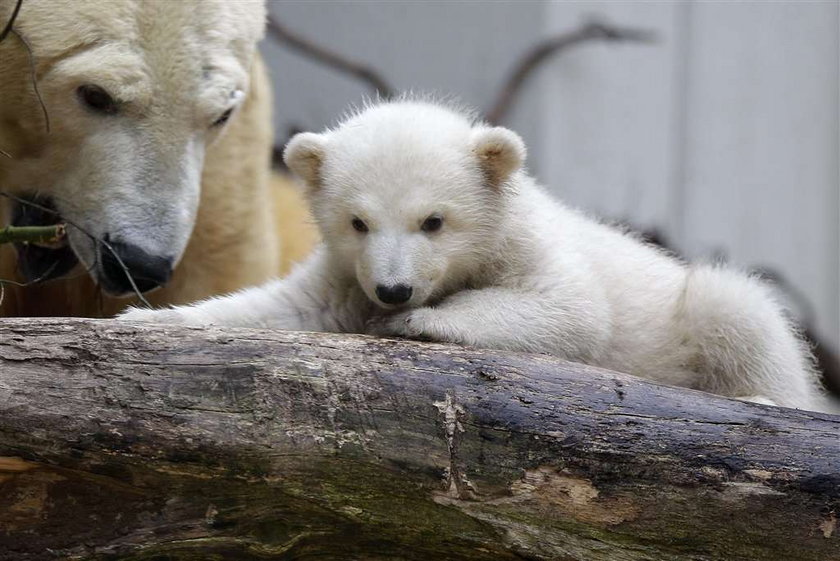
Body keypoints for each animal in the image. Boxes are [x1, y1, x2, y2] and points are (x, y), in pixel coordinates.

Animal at [123, 98, 828, 410]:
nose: (394, 289)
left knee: (735, 307)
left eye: (434, 221)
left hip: (698, 310)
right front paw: (144, 320)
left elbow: (573, 313)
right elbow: (289, 308)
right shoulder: (345, 272)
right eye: (358, 222)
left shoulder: (535, 249)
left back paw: (764, 399)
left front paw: (413, 322)